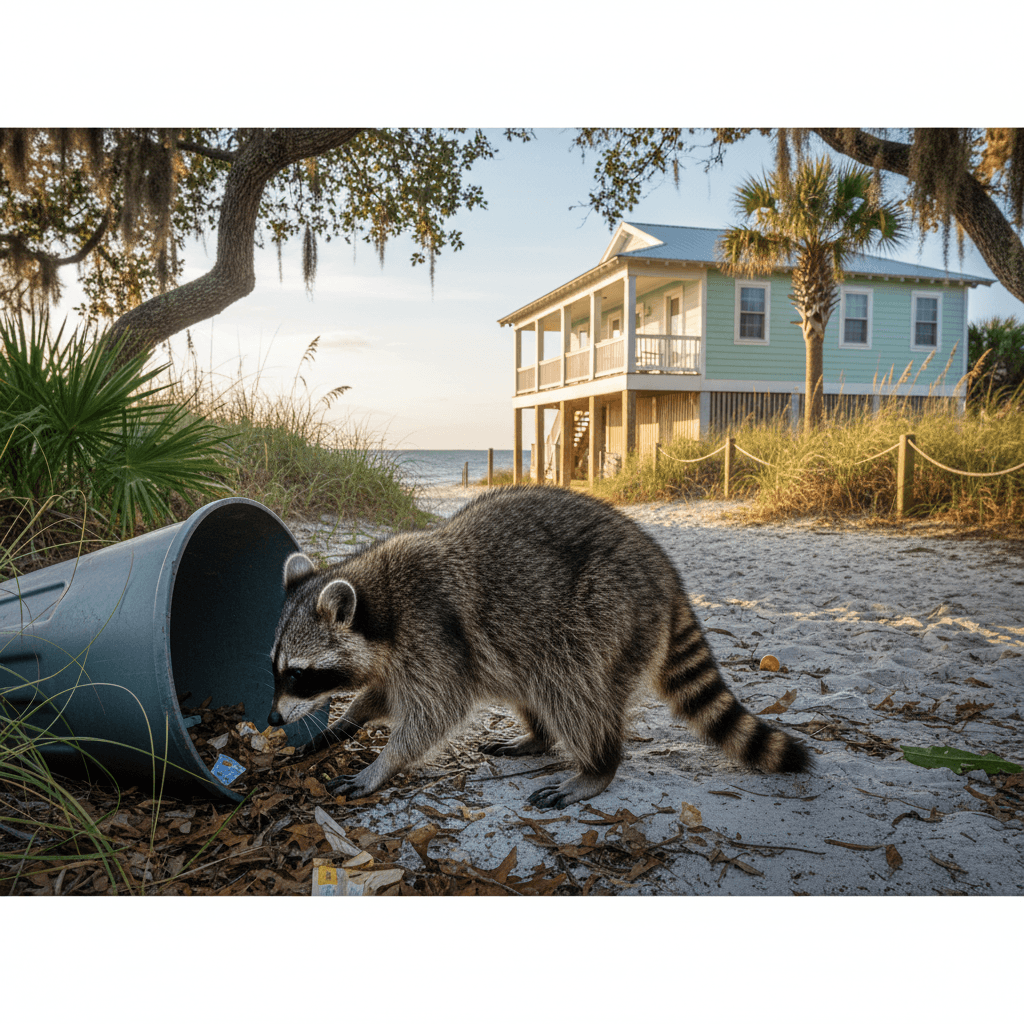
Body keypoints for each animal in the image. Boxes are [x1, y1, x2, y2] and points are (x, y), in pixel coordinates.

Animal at [268, 486, 809, 809]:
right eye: (275, 668)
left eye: (297, 673)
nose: (272, 719)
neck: (380, 604)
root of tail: (668, 576)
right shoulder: (401, 653)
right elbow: (382, 695)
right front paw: (346, 720)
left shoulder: (433, 633)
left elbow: (435, 712)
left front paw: (383, 763)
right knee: (526, 679)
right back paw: (539, 736)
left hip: (606, 612)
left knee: (570, 687)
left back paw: (598, 765)